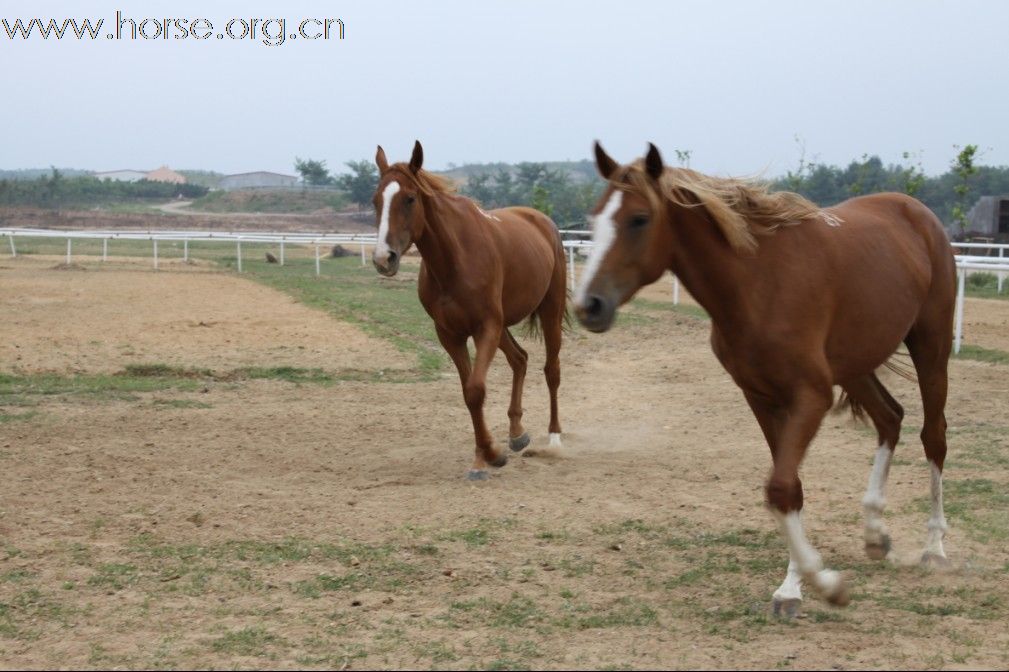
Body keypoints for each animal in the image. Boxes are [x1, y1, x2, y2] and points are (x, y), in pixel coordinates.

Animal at [371, 140, 569, 476]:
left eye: (410, 199)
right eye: (376, 201)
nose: (384, 258)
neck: (455, 259)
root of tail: (543, 222)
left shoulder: (484, 327)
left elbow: (476, 389)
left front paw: (491, 454)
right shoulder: (450, 335)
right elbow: (468, 393)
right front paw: (484, 456)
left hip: (548, 312)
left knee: (551, 370)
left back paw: (554, 439)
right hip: (503, 326)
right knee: (520, 360)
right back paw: (517, 434)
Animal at [577, 141, 952, 613]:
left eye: (639, 219)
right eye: (594, 218)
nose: (589, 305)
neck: (757, 284)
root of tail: (916, 211)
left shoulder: (810, 397)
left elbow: (780, 486)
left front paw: (825, 585)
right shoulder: (759, 396)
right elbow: (788, 489)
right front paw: (794, 586)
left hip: (931, 347)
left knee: (933, 436)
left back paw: (934, 548)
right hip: (856, 364)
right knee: (890, 418)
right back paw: (874, 534)